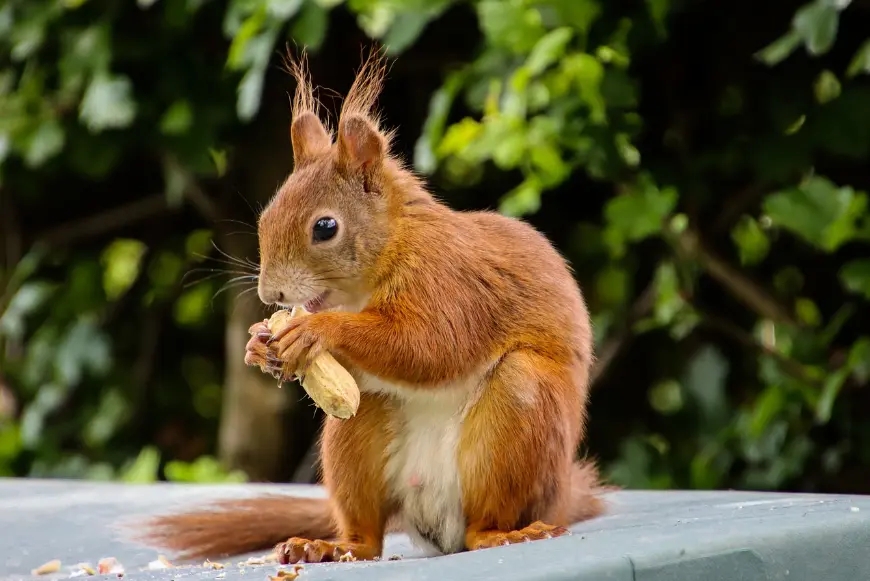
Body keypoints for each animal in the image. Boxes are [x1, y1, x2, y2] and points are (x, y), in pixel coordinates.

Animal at [138, 48, 612, 560]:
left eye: (325, 228)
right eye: (266, 218)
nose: (271, 295)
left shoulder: (449, 280)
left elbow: (432, 347)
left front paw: (317, 331)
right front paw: (258, 344)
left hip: (520, 420)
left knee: (485, 517)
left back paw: (502, 533)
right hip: (355, 428)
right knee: (366, 534)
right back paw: (326, 546)